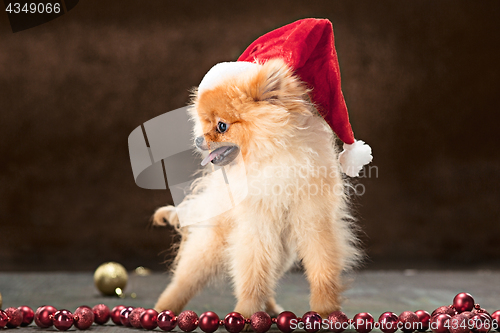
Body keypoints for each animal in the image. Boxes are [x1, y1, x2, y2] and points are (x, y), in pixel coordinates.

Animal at [150, 58, 362, 318]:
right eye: (204, 123)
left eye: (222, 126)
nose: (198, 140)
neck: (274, 156)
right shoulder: (256, 227)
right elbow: (252, 276)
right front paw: (246, 313)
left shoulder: (314, 219)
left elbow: (322, 268)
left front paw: (325, 310)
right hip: (210, 247)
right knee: (184, 280)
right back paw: (162, 308)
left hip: (283, 253)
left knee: (268, 281)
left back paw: (270, 309)